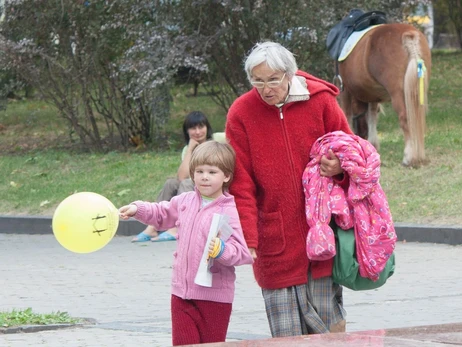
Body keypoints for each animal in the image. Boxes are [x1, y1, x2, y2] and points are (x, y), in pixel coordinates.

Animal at [338, 23, 432, 167]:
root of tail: (409, 35)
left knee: (405, 119)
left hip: (398, 94)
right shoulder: (372, 95)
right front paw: (373, 144)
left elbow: (347, 115)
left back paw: (409, 158)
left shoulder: (346, 90)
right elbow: (372, 115)